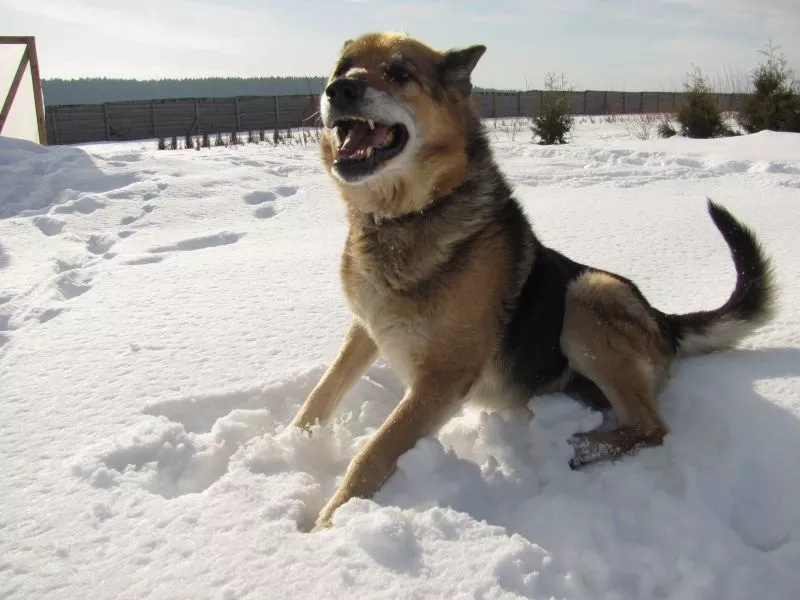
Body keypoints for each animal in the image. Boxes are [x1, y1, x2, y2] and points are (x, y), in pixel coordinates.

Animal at [290, 32, 780, 528]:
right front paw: (291, 444)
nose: (339, 90)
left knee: (652, 426)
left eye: (399, 73)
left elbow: (375, 450)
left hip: (588, 294)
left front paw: (326, 523)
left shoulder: (443, 377)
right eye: (342, 68)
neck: (402, 218)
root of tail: (664, 319)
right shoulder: (365, 327)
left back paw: (578, 446)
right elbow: (322, 392)